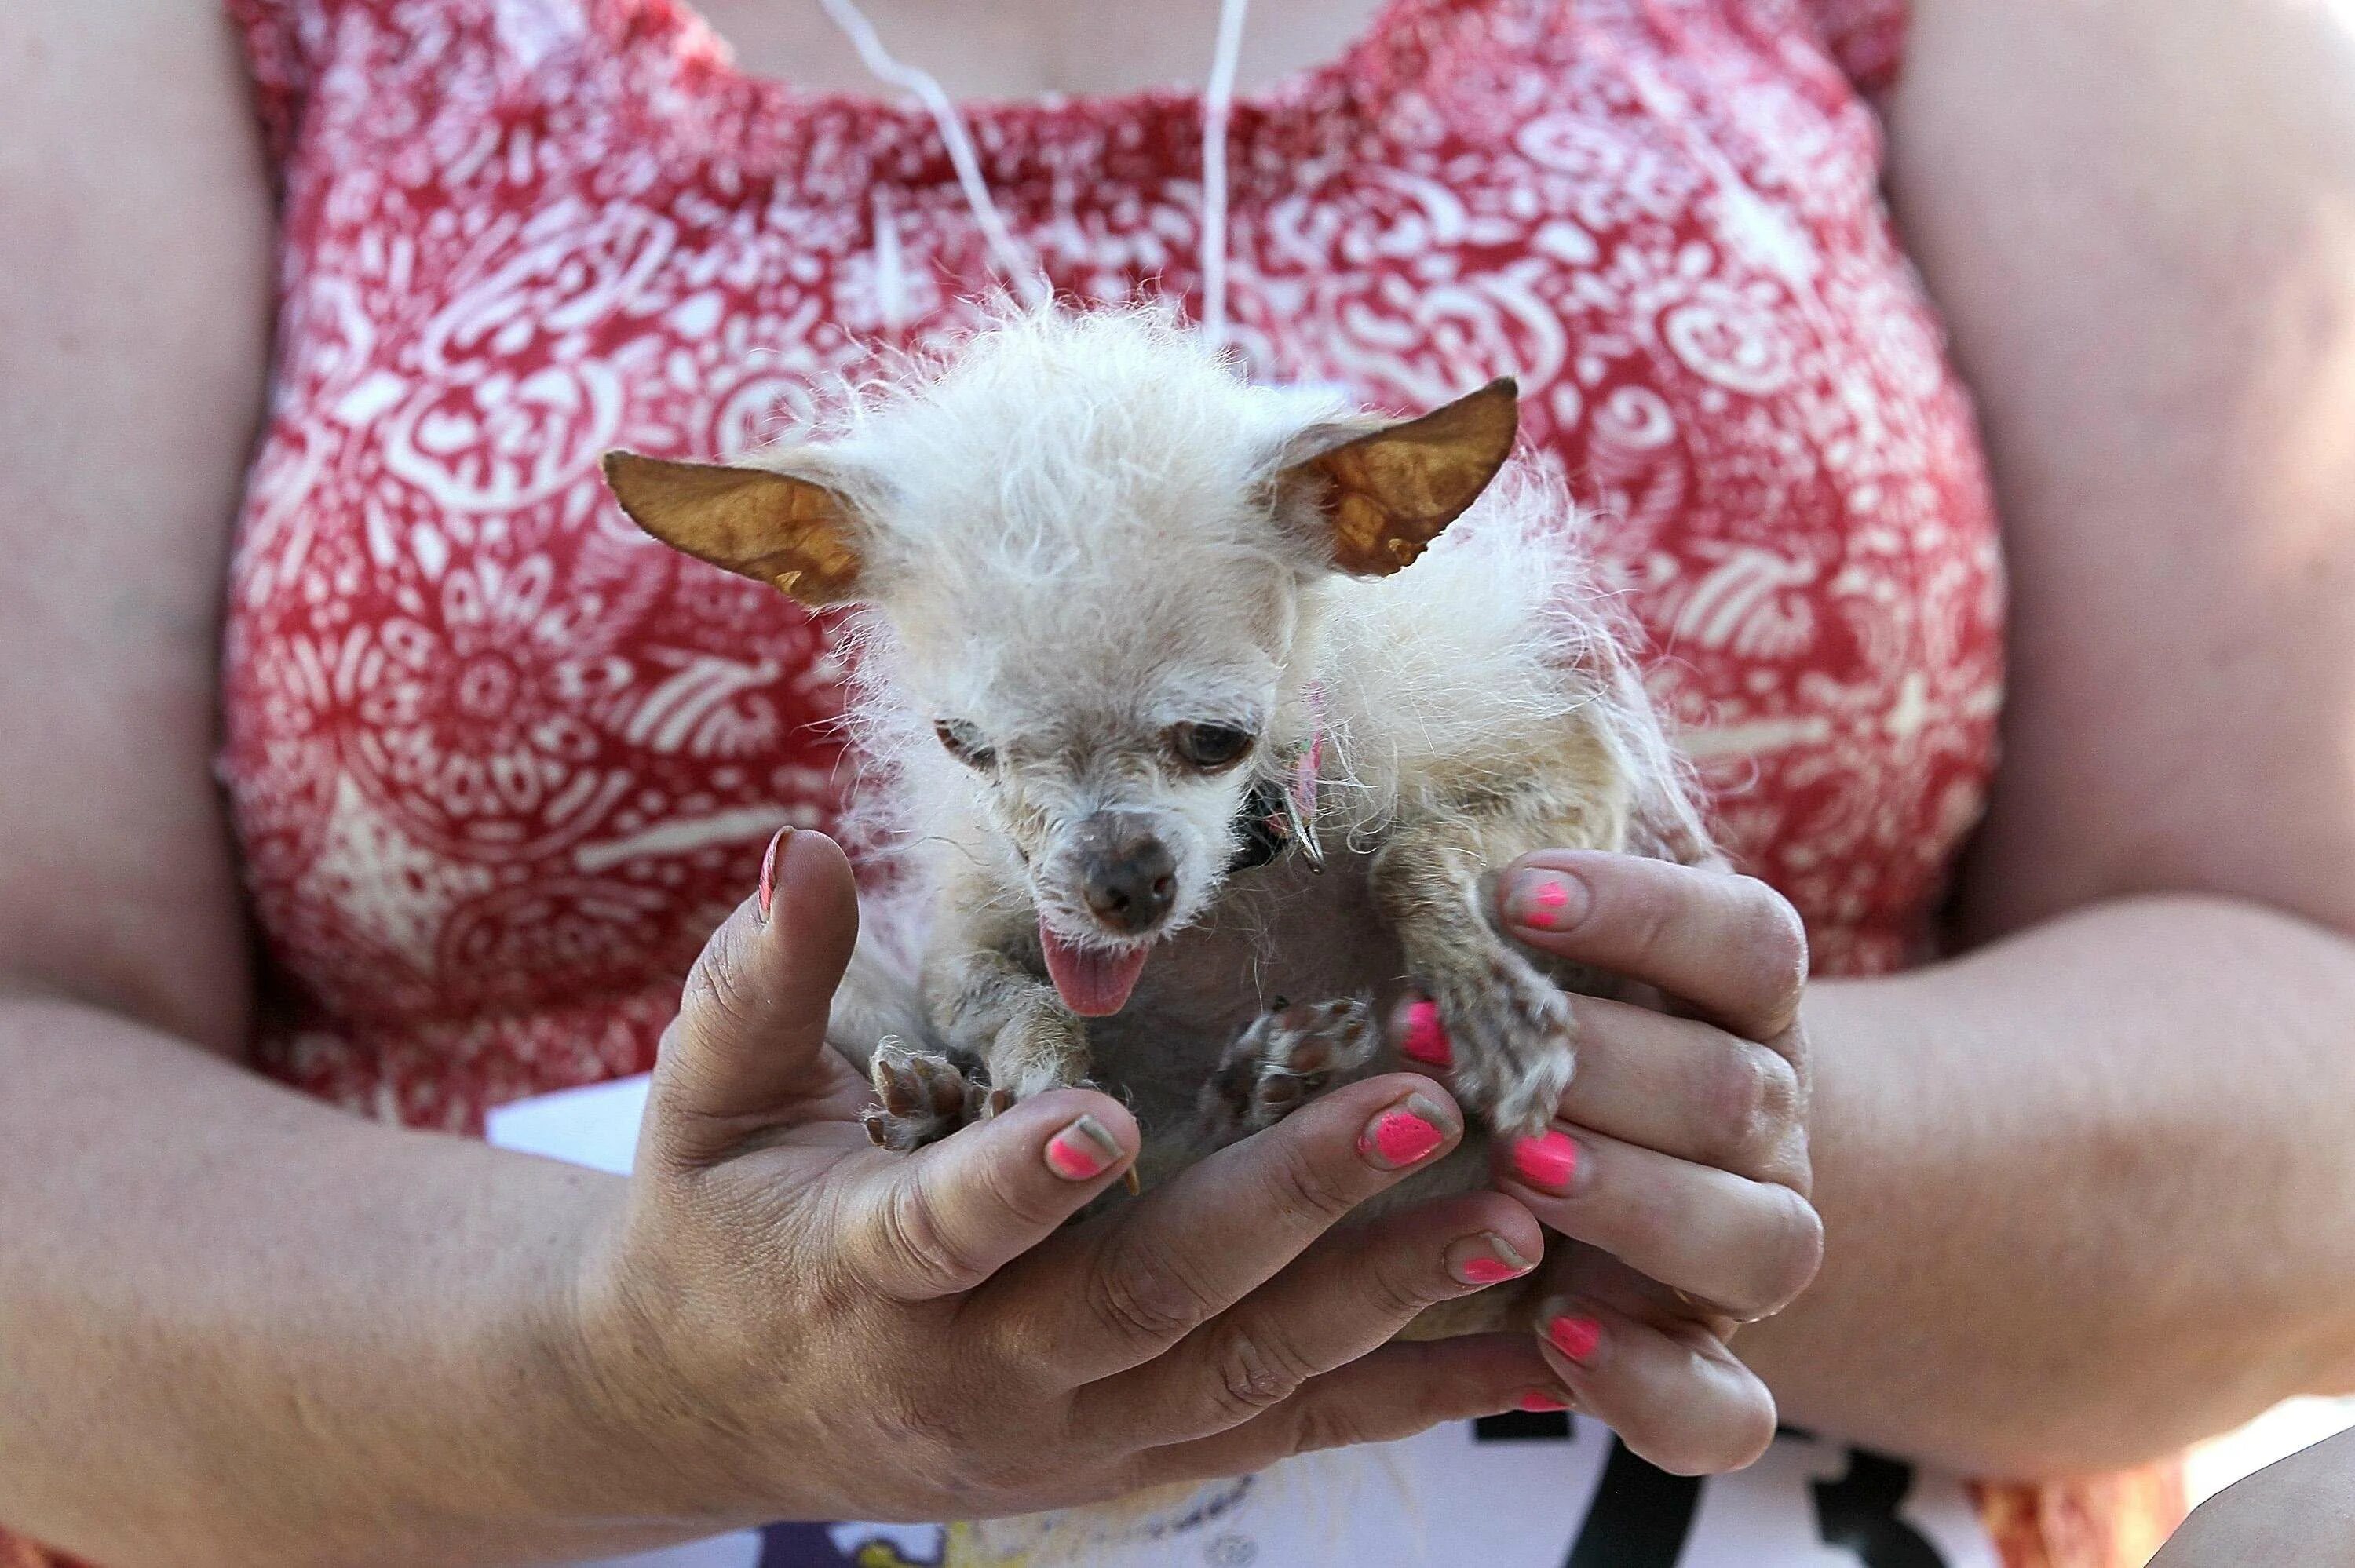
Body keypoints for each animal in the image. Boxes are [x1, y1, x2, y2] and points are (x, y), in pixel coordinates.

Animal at [608, 306, 1714, 1309]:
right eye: (964, 745)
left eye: (1218, 739)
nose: (1122, 885)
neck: (1251, 869)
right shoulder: (962, 947)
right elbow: (1021, 1000)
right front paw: (1040, 1078)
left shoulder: (1576, 780)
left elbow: (1413, 855)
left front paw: (1481, 993)